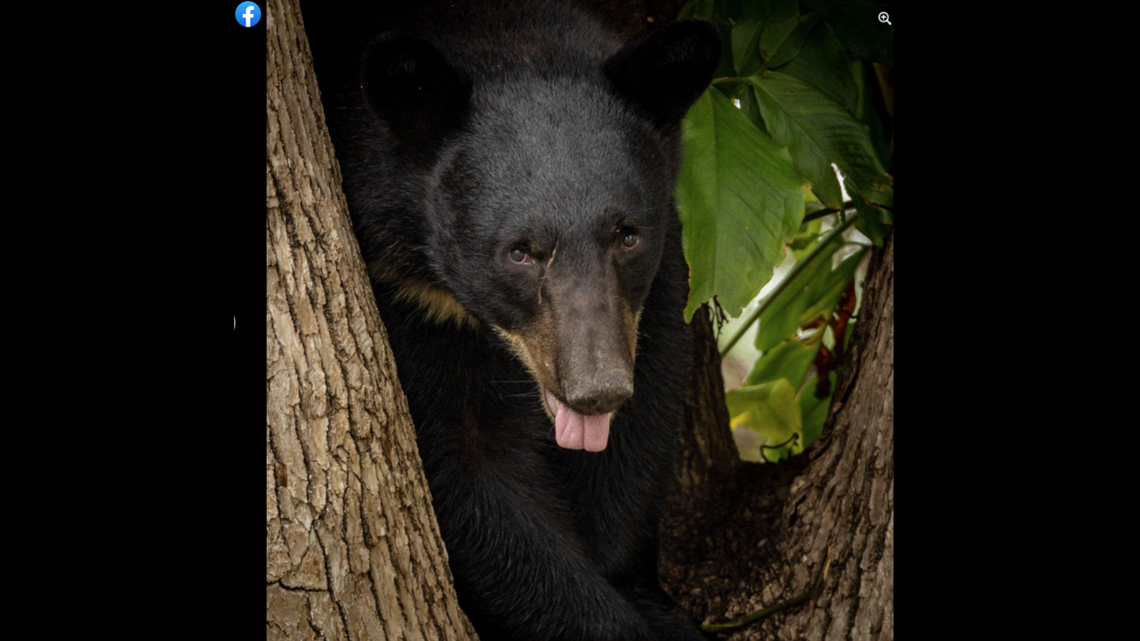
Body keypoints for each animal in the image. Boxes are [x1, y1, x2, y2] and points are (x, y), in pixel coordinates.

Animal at [301, 1, 720, 639]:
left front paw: (647, 597)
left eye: (627, 235)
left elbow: (639, 429)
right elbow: (471, 478)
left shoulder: (654, 287)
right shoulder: (406, 299)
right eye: (520, 252)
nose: (596, 389)